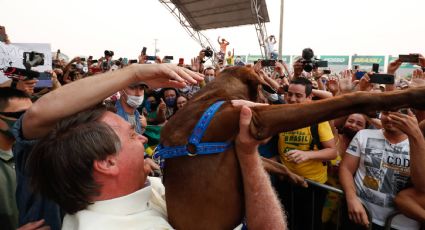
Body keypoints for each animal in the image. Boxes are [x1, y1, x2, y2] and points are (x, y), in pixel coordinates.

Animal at [159, 65, 424, 229]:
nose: (274, 95)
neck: (211, 97)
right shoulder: (257, 119)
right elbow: (350, 98)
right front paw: (411, 94)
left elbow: (270, 163)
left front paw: (294, 177)